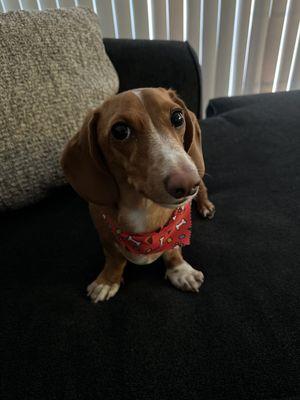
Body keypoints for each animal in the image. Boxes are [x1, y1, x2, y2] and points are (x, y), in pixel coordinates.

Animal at [61, 86, 216, 300]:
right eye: (120, 131)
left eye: (177, 117)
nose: (187, 184)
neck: (143, 206)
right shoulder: (104, 232)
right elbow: (115, 257)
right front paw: (107, 280)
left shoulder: (175, 228)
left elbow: (172, 249)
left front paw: (180, 270)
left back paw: (205, 205)